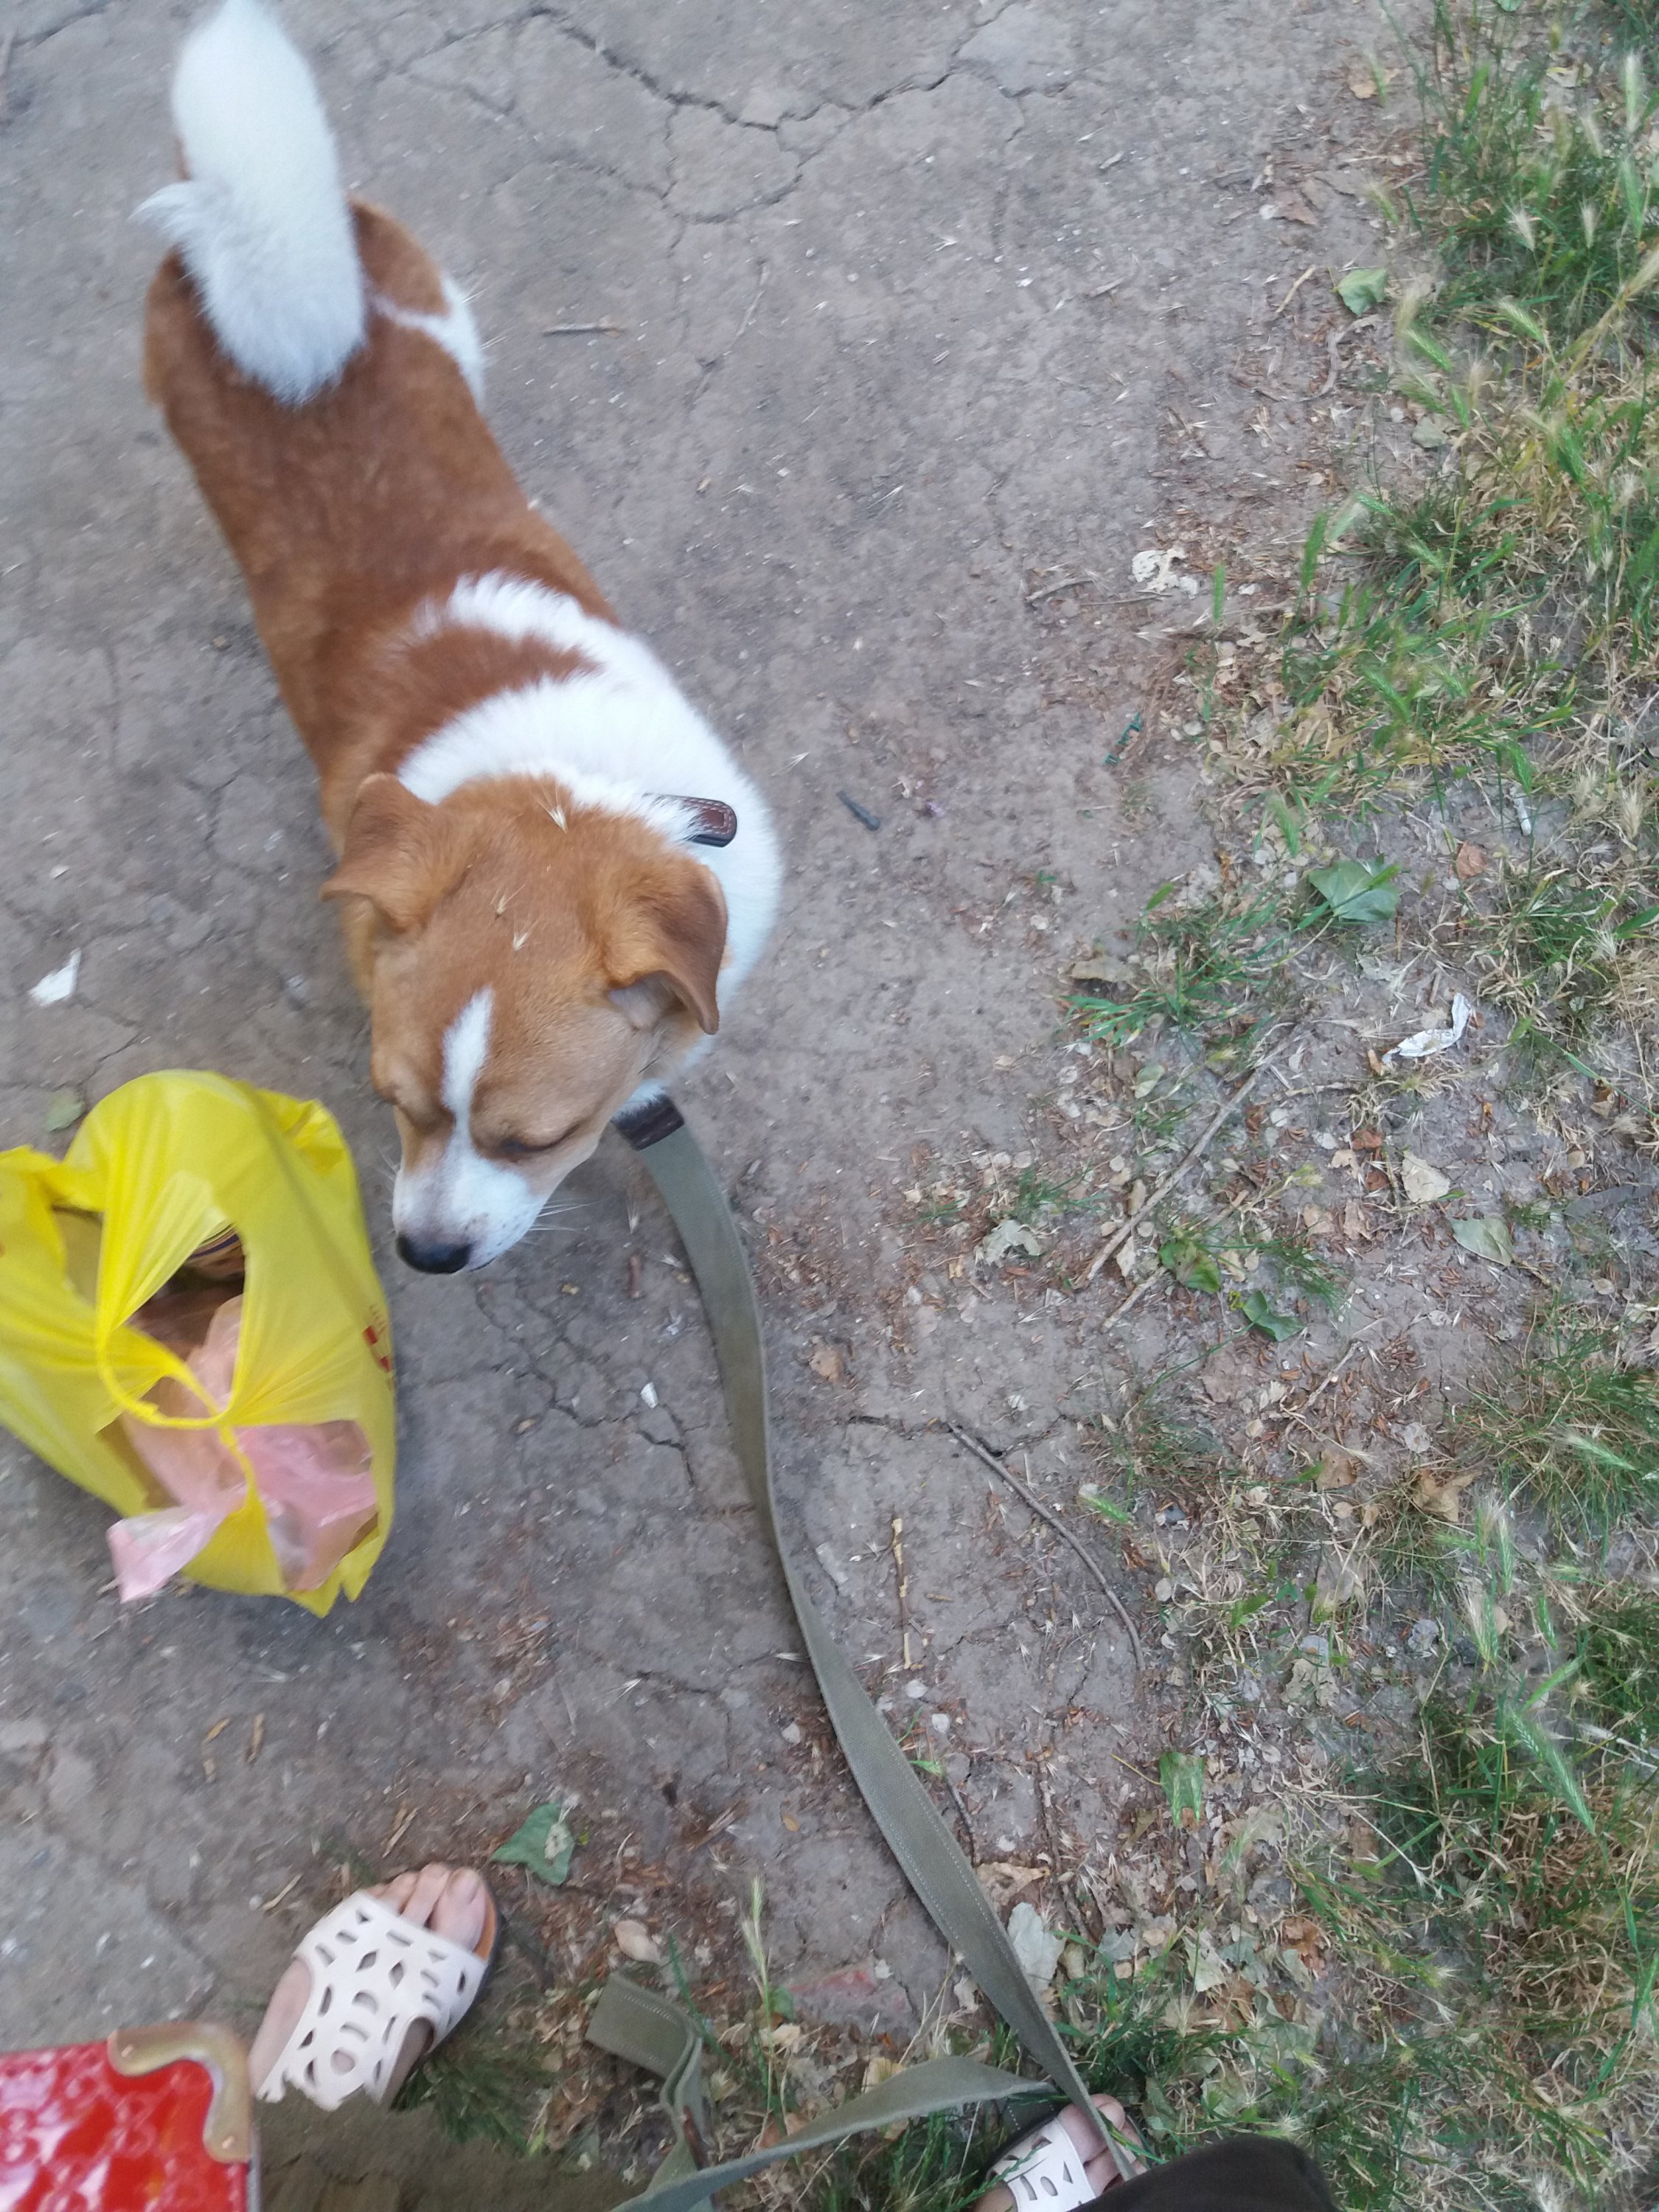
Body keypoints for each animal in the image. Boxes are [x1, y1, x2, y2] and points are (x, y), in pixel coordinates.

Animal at [140, 0, 780, 1273]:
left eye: (539, 1139)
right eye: (396, 1104)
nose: (427, 1255)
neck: (563, 784)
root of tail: (243, 232)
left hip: (448, 324)